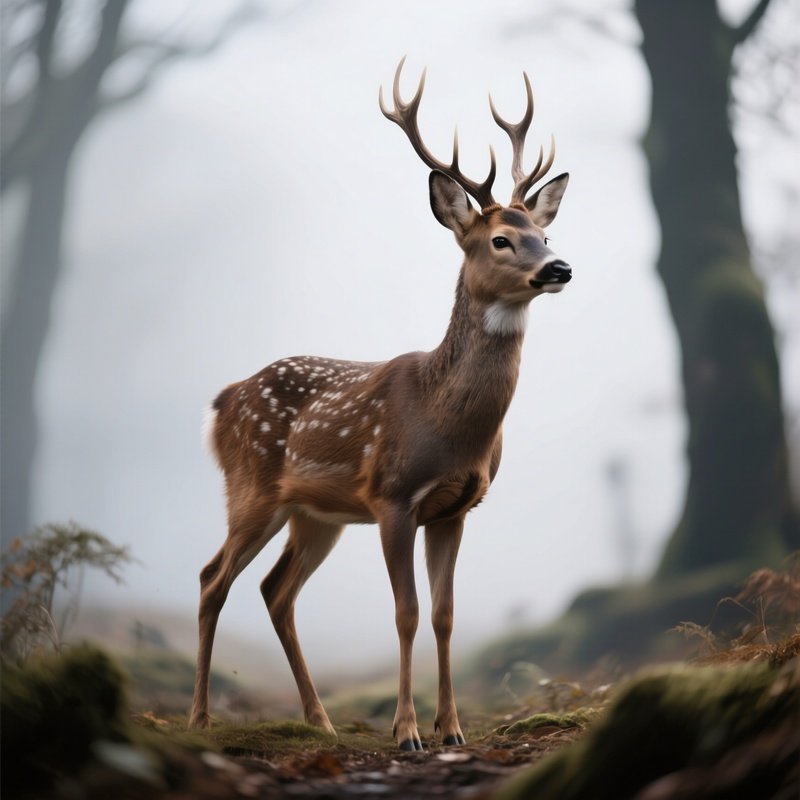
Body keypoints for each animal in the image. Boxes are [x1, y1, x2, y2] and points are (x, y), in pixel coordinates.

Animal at [190, 58, 571, 750]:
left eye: (546, 229)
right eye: (502, 240)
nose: (560, 267)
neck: (447, 424)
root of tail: (225, 398)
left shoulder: (457, 507)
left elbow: (445, 614)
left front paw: (452, 729)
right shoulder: (393, 496)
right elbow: (406, 612)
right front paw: (408, 731)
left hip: (317, 514)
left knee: (274, 590)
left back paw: (320, 721)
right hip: (251, 486)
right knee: (214, 578)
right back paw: (200, 718)